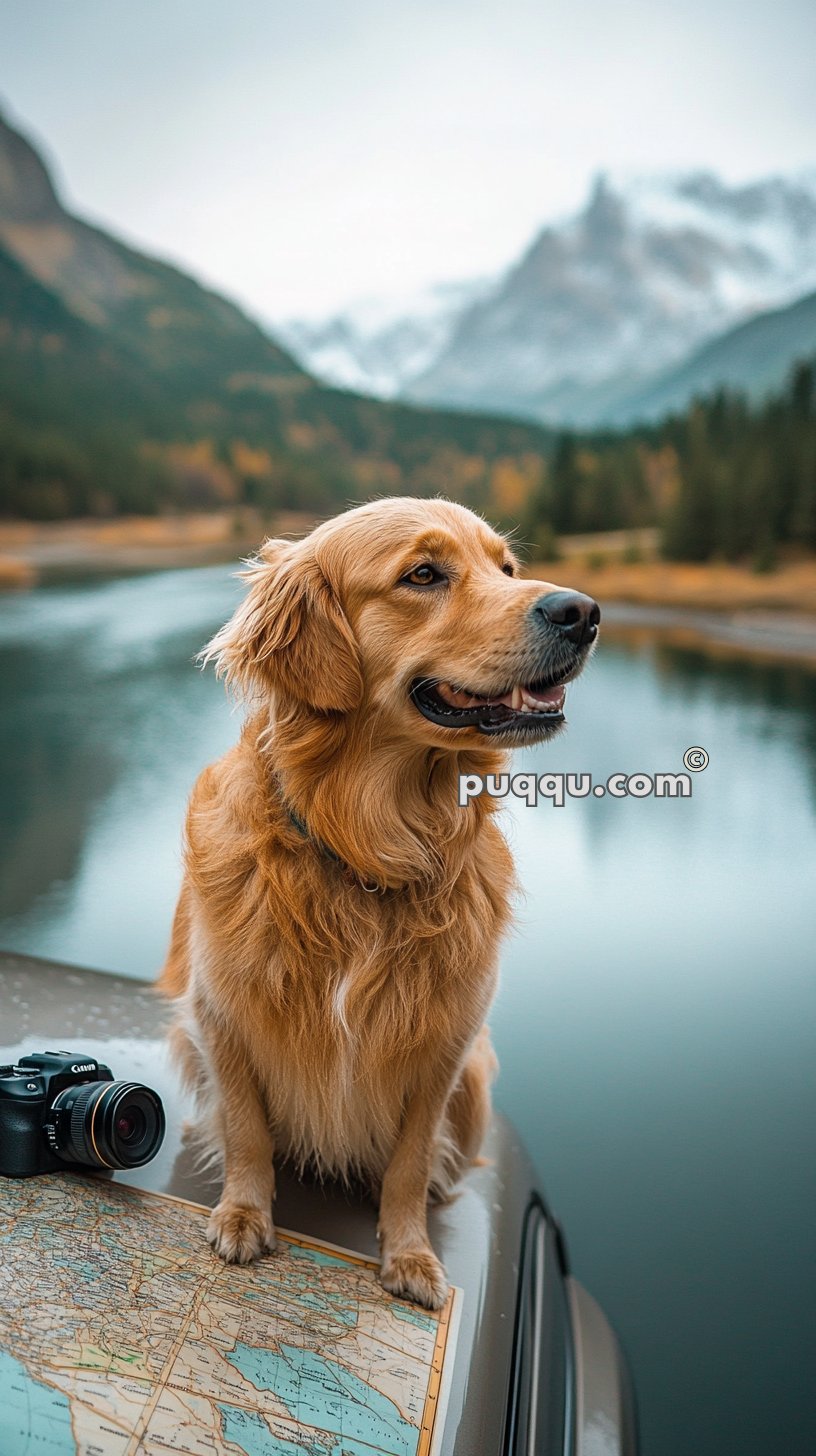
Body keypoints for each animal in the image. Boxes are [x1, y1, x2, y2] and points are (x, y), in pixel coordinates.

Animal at [158, 497, 600, 1310]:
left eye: (506, 567)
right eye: (422, 575)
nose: (582, 612)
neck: (371, 850)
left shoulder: (446, 1044)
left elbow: (409, 1160)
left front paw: (411, 1255)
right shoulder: (220, 1012)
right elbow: (246, 1127)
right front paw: (243, 1213)